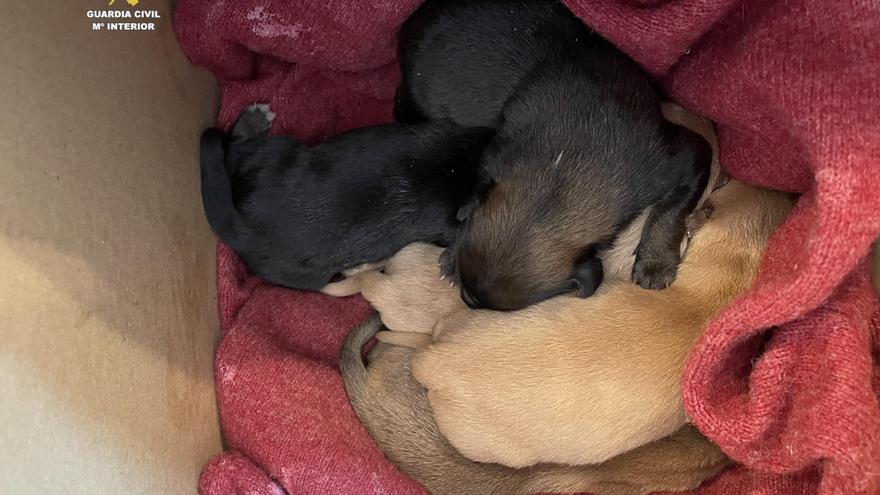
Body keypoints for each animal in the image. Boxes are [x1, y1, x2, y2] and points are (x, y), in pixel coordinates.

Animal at [396, 0, 712, 310]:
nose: (466, 300)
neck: (564, 170)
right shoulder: (496, 155)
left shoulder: (683, 158)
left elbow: (671, 210)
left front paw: (655, 262)